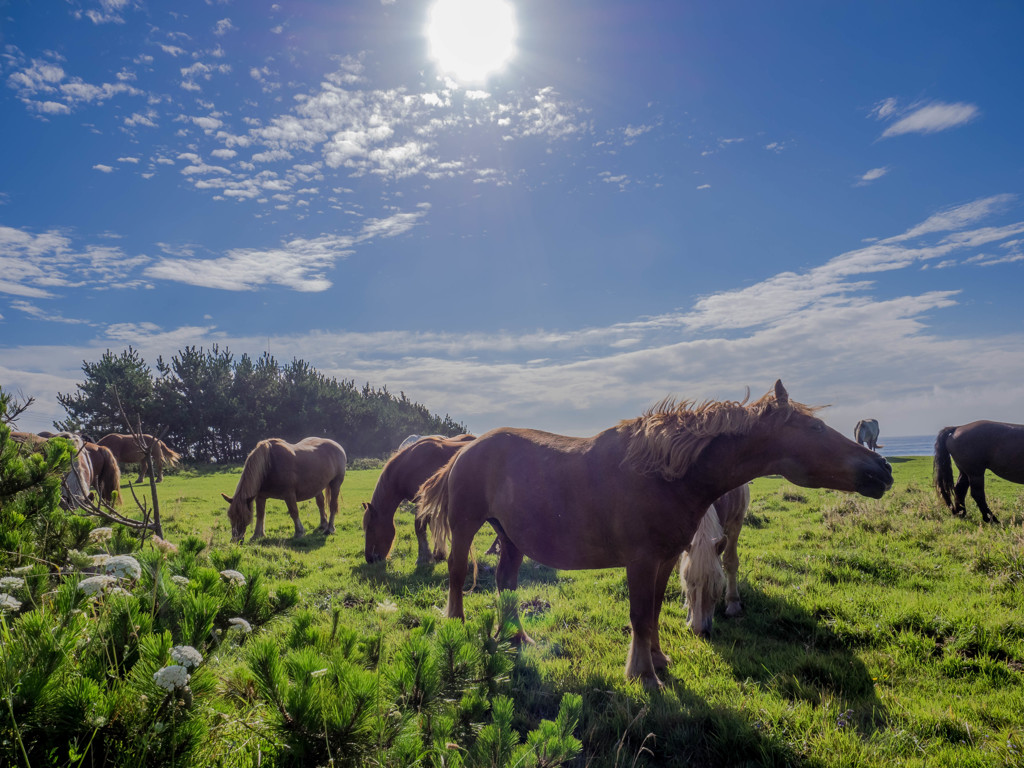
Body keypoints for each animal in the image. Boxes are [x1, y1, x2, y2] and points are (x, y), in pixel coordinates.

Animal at [222, 436, 350, 544]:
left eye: (243, 517)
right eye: (230, 516)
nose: (235, 540)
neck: (269, 465)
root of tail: (337, 446)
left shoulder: (289, 495)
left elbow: (294, 512)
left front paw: (299, 532)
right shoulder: (260, 497)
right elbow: (260, 514)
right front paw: (257, 535)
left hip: (335, 484)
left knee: (333, 505)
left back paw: (329, 528)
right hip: (318, 487)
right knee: (321, 504)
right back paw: (323, 525)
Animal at [360, 436, 475, 569]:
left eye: (371, 528)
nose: (370, 559)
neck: (410, 466)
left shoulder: (422, 502)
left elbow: (419, 528)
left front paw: (423, 558)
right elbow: (432, 526)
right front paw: (438, 554)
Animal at [679, 483, 753, 638]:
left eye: (716, 581)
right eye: (687, 580)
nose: (699, 630)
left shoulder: (736, 522)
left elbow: (730, 562)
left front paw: (733, 603)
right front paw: (687, 605)